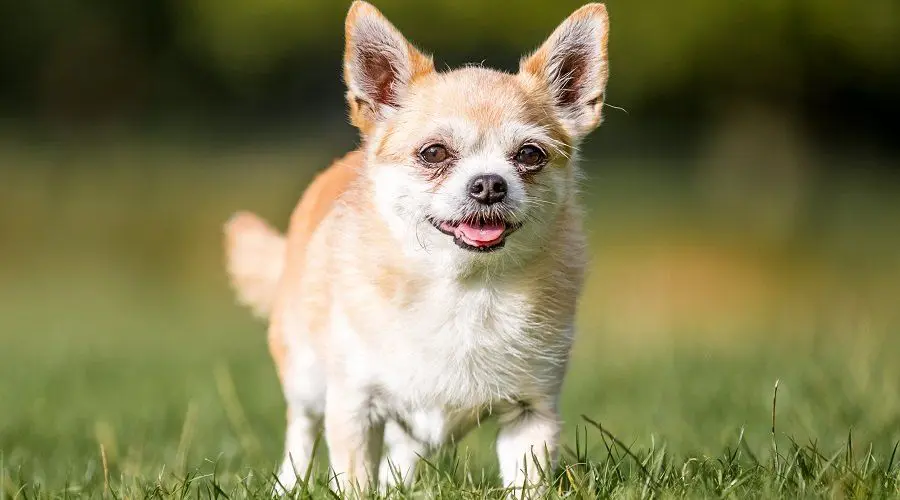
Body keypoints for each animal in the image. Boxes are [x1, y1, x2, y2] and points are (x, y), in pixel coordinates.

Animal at [224, 0, 608, 492]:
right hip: (306, 375)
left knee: (404, 452)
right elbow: (353, 481)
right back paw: (288, 486)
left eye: (530, 155)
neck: (464, 287)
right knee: (301, 430)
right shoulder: (353, 406)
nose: (489, 184)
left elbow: (527, 483)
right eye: (434, 153)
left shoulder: (531, 413)